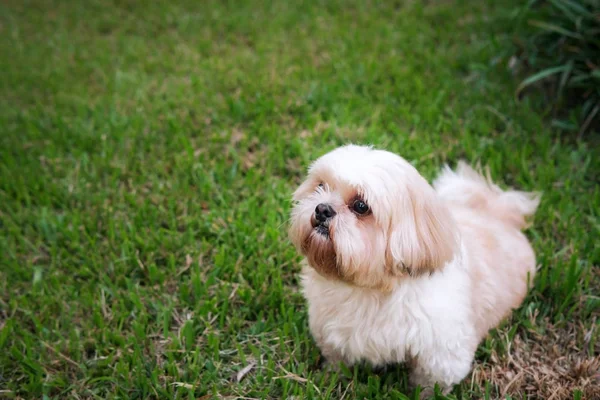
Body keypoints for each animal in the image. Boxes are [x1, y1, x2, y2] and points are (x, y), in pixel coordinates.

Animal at [288, 145, 540, 394]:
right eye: (320, 186)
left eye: (361, 206)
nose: (322, 209)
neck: (370, 288)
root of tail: (498, 212)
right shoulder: (331, 330)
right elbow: (336, 358)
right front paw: (330, 377)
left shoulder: (441, 353)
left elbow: (431, 382)